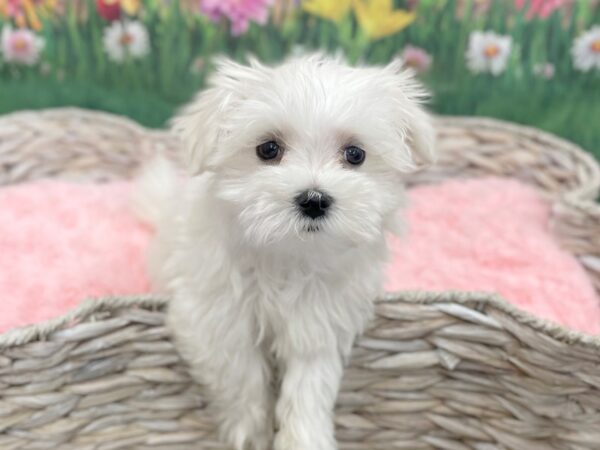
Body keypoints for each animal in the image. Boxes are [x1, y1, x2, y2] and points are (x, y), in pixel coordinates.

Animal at [136, 53, 436, 450]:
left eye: (355, 154)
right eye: (268, 149)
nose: (314, 199)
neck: (290, 253)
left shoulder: (321, 317)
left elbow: (312, 381)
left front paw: (305, 438)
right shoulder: (212, 312)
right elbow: (238, 371)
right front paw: (249, 431)